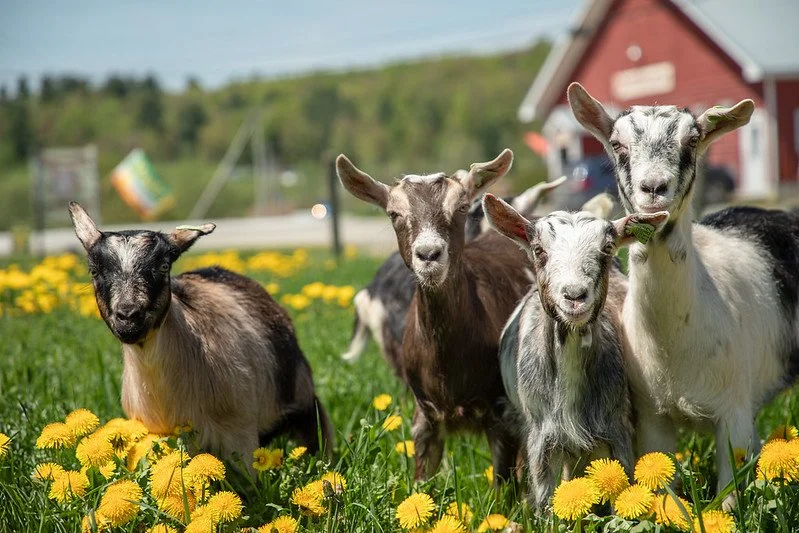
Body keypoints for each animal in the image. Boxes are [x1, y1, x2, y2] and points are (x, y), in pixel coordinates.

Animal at [336, 150, 532, 484]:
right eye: (393, 213)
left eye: (462, 207)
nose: (429, 255)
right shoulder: (424, 417)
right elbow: (421, 485)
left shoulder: (501, 414)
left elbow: (504, 487)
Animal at [484, 193, 665, 508]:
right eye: (539, 250)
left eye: (607, 248)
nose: (575, 296)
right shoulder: (542, 435)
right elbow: (546, 501)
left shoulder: (616, 429)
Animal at [568, 82, 799, 508]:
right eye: (617, 144)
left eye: (692, 141)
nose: (654, 188)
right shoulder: (651, 419)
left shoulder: (734, 415)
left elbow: (728, 502)